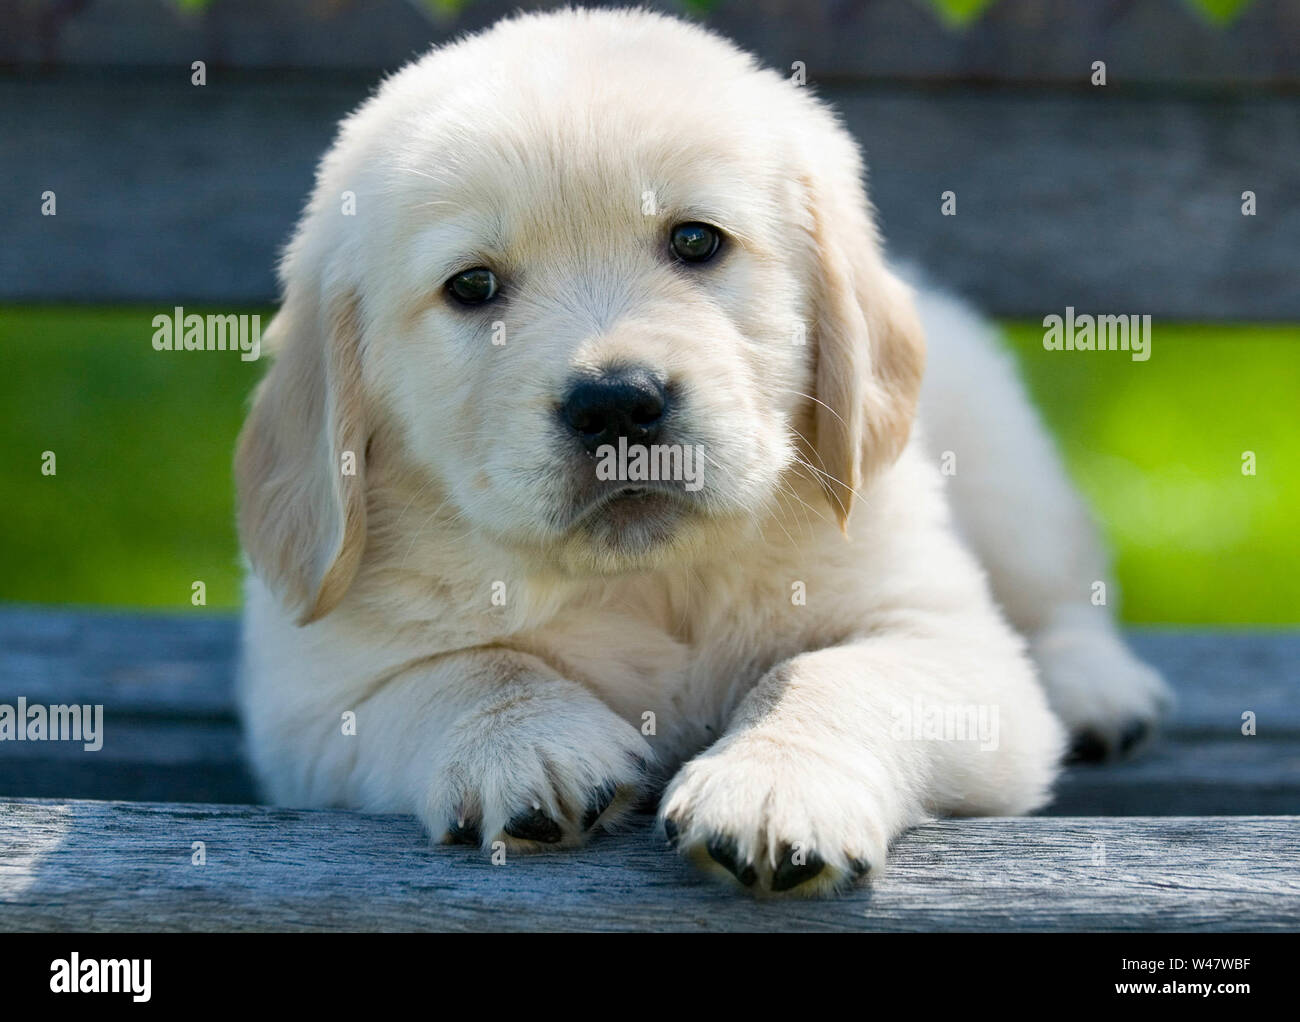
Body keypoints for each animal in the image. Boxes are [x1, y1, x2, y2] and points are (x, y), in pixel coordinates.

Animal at [236, 11, 1180, 894]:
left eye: (696, 241)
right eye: (471, 287)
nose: (616, 404)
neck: (654, 581)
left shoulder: (947, 643)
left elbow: (838, 673)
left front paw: (775, 782)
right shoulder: (315, 700)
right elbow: (464, 670)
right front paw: (527, 741)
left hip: (1005, 474)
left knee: (1062, 591)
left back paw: (1096, 689)